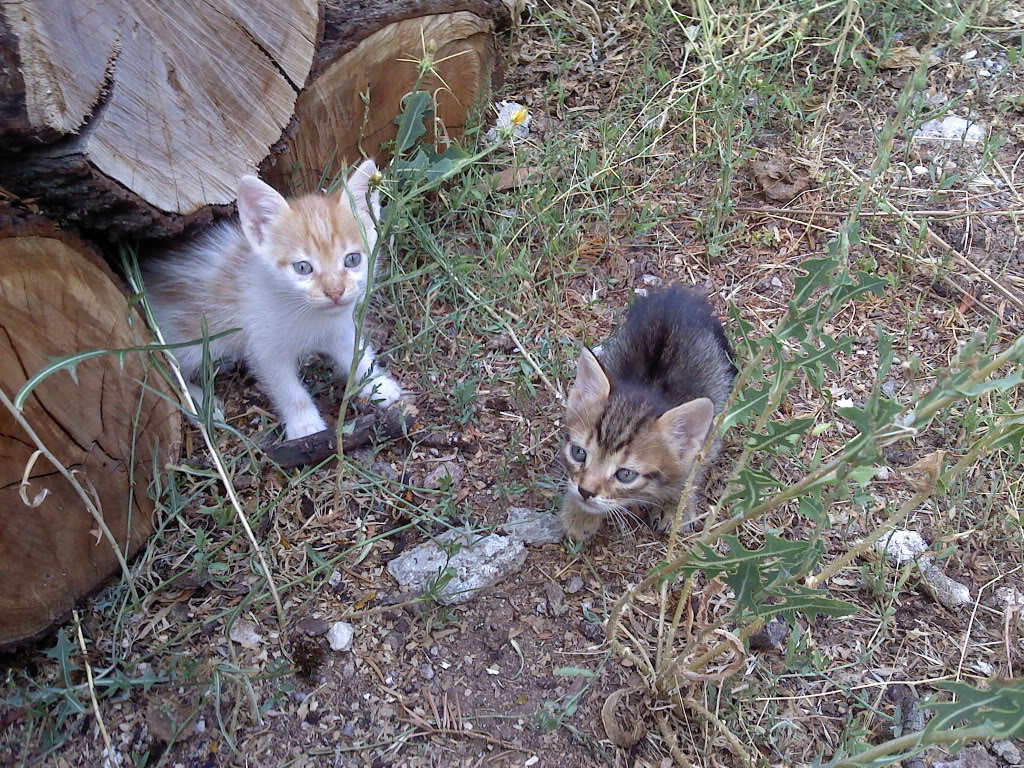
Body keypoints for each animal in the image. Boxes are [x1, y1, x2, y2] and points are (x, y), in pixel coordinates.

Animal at [146, 159, 401, 442]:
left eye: (352, 259)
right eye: (303, 267)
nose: (335, 291)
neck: (309, 315)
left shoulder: (340, 328)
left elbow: (357, 355)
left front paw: (378, 383)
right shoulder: (265, 347)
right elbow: (287, 388)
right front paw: (305, 425)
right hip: (183, 340)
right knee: (169, 368)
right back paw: (202, 404)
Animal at [561, 286, 737, 544]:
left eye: (625, 474)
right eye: (578, 453)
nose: (585, 491)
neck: (650, 387)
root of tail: (676, 296)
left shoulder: (707, 438)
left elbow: (691, 472)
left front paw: (675, 505)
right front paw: (579, 514)